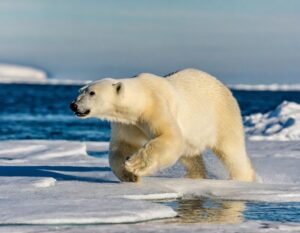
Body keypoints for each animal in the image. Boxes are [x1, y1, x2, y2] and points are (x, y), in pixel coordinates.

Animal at [70, 68, 255, 182]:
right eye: (80, 91)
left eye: (92, 93)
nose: (73, 105)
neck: (141, 99)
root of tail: (225, 88)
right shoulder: (128, 123)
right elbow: (122, 146)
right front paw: (129, 175)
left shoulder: (156, 106)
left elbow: (170, 136)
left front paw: (134, 164)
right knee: (189, 155)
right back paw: (195, 175)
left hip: (222, 116)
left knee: (231, 151)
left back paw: (243, 177)